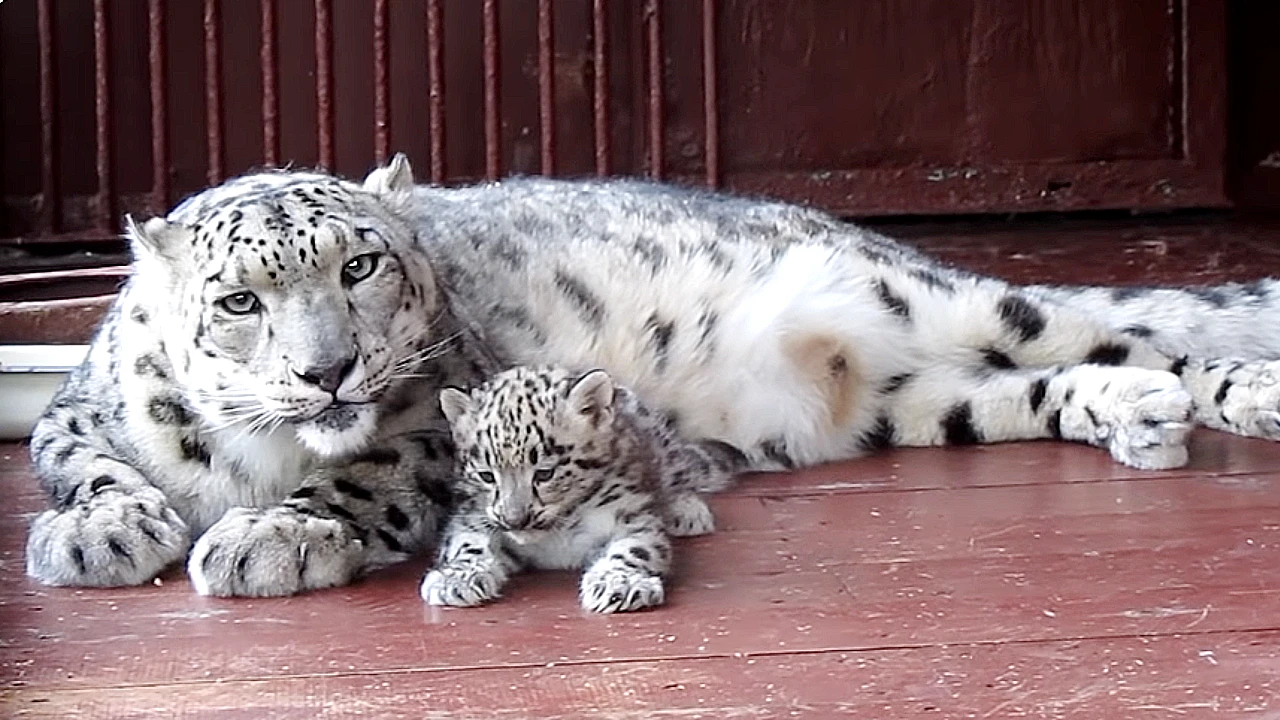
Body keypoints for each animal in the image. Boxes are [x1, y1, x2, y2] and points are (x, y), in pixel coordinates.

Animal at [422, 363, 742, 609]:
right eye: (487, 476)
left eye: (544, 473)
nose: (516, 519)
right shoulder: (472, 516)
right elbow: (466, 542)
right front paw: (454, 579)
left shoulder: (633, 515)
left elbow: (636, 548)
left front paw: (619, 583)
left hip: (665, 454)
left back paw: (685, 510)